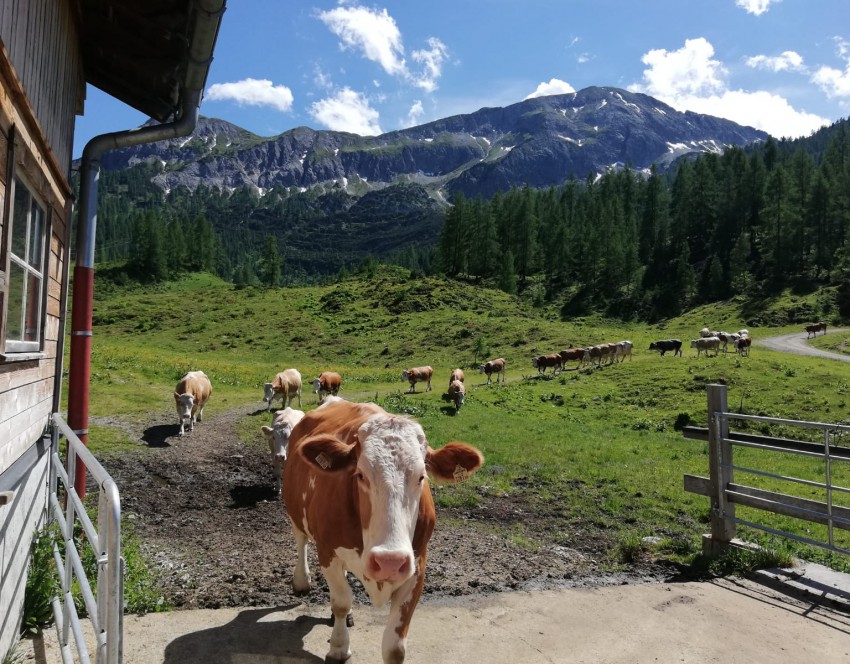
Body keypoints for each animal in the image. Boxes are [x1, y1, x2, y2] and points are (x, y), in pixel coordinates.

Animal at [284, 396, 484, 660]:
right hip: (294, 510)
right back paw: (301, 580)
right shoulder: (327, 552)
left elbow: (394, 648)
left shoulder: (416, 567)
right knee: (300, 541)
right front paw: (338, 647)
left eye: (422, 476)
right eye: (360, 474)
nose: (389, 561)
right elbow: (341, 601)